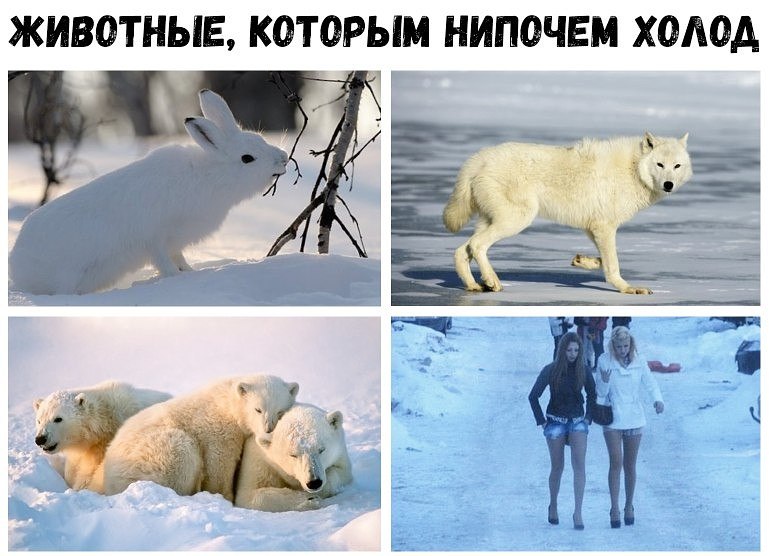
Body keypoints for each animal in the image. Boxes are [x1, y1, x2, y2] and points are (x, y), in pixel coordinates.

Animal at [9, 89, 289, 295]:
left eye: (260, 139)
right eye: (247, 158)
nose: (284, 158)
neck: (211, 176)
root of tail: (17, 265)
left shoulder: (175, 242)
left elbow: (180, 259)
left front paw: (191, 273)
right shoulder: (155, 239)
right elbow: (164, 262)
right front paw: (176, 279)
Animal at [442, 132, 692, 294]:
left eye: (677, 166)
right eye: (660, 164)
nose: (668, 184)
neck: (633, 170)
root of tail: (477, 159)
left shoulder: (593, 227)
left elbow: (604, 261)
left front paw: (583, 261)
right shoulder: (605, 226)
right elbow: (613, 264)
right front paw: (628, 288)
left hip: (491, 220)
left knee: (461, 250)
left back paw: (474, 285)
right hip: (517, 219)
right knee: (477, 245)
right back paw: (492, 281)